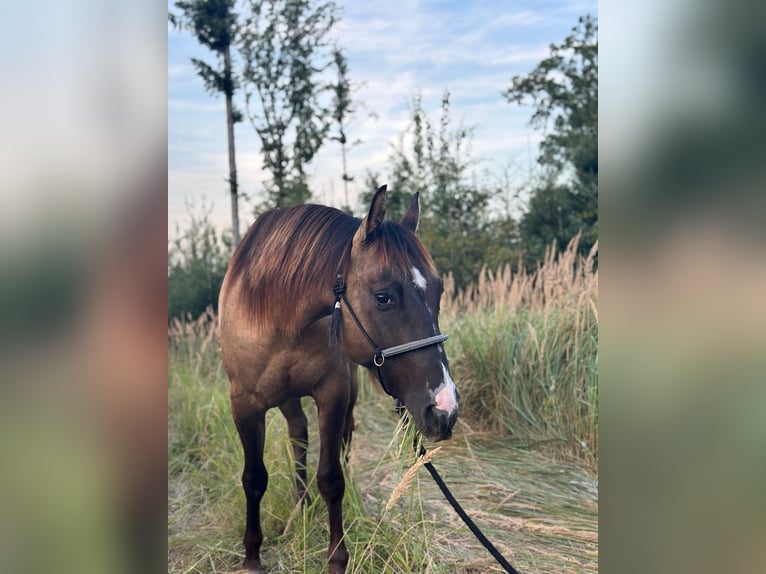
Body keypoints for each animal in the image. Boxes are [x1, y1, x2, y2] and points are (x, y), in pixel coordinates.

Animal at [218, 185, 459, 573]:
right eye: (383, 296)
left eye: (438, 290)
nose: (444, 409)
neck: (278, 315)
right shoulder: (244, 404)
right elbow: (254, 478)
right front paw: (252, 558)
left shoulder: (333, 394)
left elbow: (331, 478)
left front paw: (337, 559)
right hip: (286, 397)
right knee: (298, 436)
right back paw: (299, 508)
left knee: (341, 438)